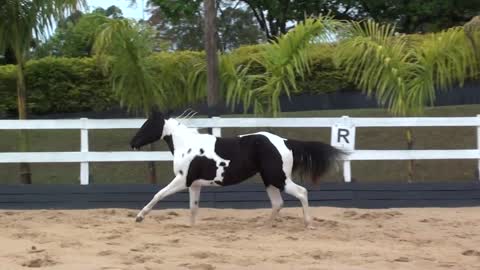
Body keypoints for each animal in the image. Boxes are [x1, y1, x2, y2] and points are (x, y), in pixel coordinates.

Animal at [128, 109, 344, 228]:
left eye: (147, 125)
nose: (132, 143)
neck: (187, 145)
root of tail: (285, 142)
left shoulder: (183, 180)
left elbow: (158, 194)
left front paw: (139, 217)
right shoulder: (195, 185)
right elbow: (193, 208)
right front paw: (191, 228)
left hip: (278, 178)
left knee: (301, 192)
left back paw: (308, 224)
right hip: (269, 180)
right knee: (278, 203)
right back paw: (264, 226)